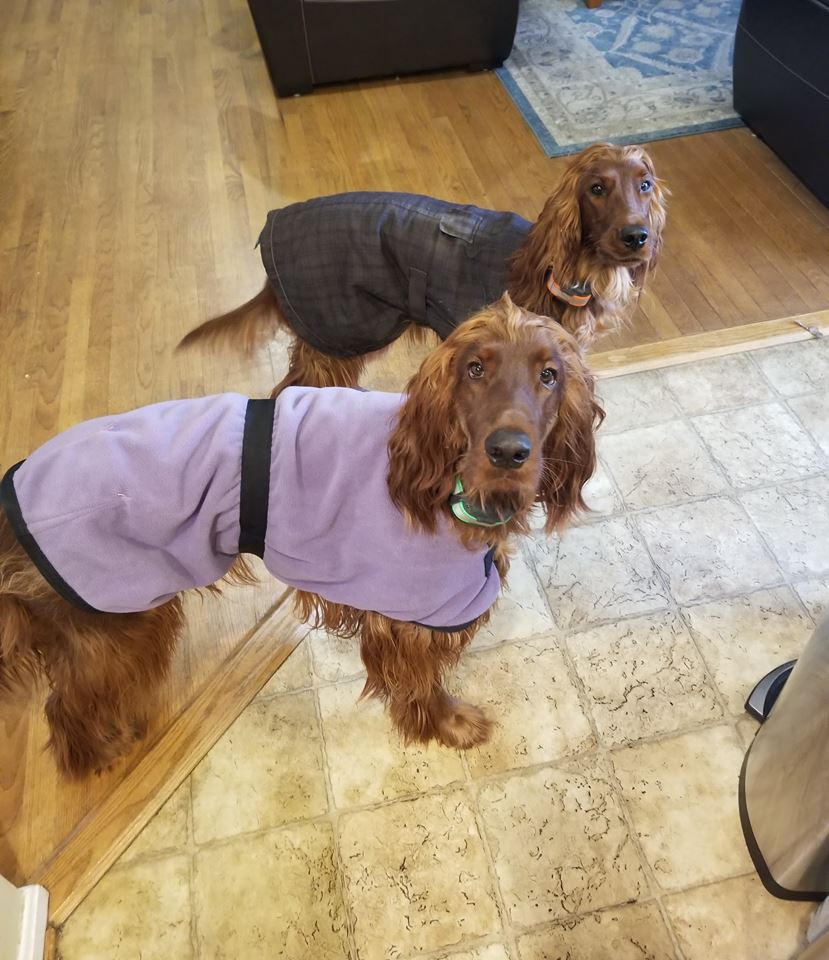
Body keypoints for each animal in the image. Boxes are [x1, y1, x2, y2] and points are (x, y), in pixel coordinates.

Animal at [0, 295, 603, 779]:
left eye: (549, 375)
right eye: (475, 368)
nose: (508, 452)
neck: (439, 478)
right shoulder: (416, 615)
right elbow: (419, 683)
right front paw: (447, 724)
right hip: (118, 623)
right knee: (65, 708)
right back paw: (98, 757)